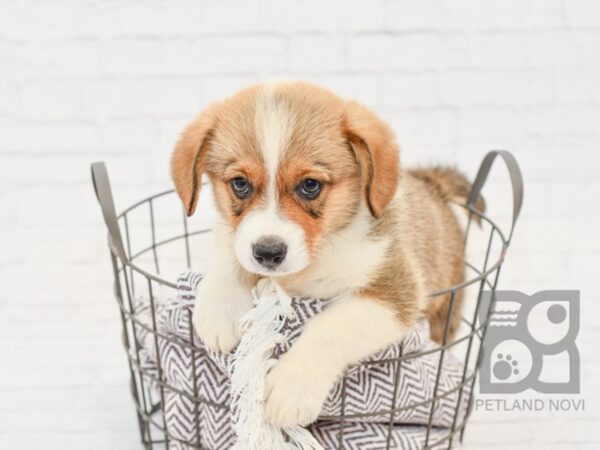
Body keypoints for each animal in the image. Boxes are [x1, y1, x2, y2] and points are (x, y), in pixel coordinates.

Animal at [171, 81, 480, 428]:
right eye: (239, 183)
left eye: (310, 185)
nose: (268, 253)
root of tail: (433, 186)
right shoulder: (238, 239)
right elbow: (231, 247)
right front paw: (218, 309)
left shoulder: (394, 290)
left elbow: (330, 327)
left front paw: (292, 387)